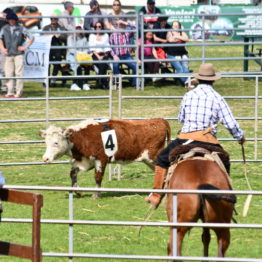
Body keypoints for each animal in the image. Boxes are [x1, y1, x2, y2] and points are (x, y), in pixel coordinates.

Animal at [38, 117, 170, 198]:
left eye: (56, 143)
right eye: (46, 142)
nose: (45, 159)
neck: (83, 138)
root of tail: (160, 120)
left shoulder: (101, 159)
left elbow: (98, 177)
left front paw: (96, 195)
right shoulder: (84, 161)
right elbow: (72, 173)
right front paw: (78, 191)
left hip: (154, 157)